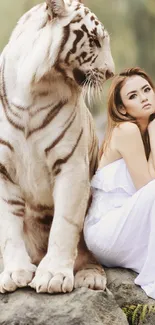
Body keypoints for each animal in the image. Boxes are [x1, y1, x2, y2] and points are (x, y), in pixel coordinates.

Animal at [0, 0, 114, 294]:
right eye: (94, 41)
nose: (111, 72)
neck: (33, 88)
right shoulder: (3, 170)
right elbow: (9, 226)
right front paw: (14, 273)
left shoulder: (71, 166)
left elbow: (64, 224)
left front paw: (52, 276)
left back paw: (90, 277)